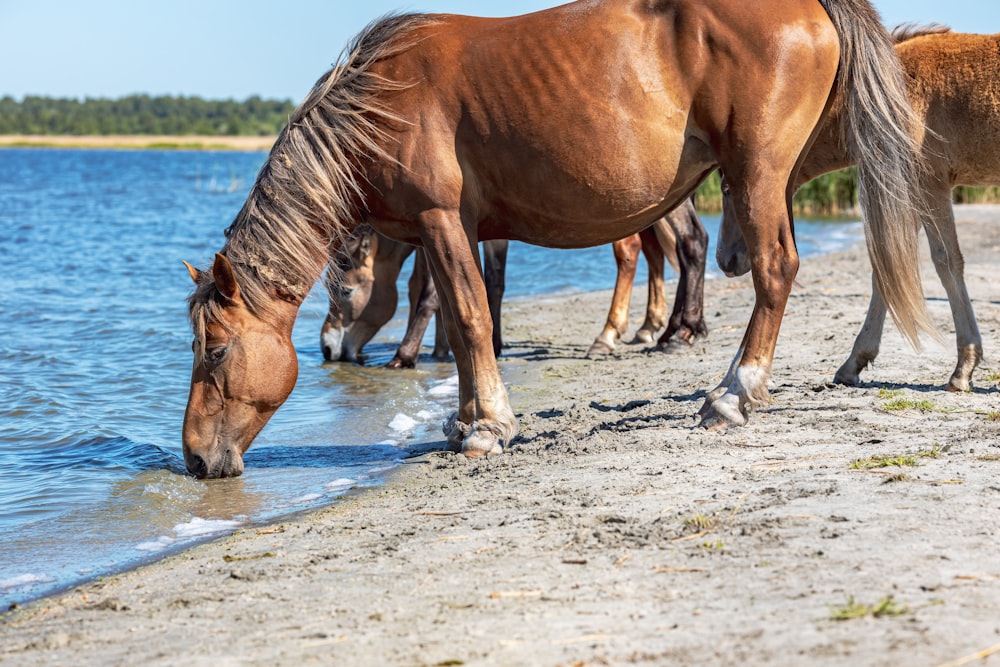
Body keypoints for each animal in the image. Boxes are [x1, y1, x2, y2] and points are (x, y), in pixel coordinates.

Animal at [180, 0, 928, 480]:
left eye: (214, 352)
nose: (192, 457)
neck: (380, 104)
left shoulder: (439, 220)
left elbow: (470, 317)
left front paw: (489, 426)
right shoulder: (452, 232)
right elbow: (460, 320)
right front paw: (463, 420)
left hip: (758, 173)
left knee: (774, 270)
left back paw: (731, 392)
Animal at [716, 26, 996, 392]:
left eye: (726, 187)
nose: (724, 260)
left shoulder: (928, 185)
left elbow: (946, 263)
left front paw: (964, 368)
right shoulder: (905, 192)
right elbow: (886, 271)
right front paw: (854, 363)